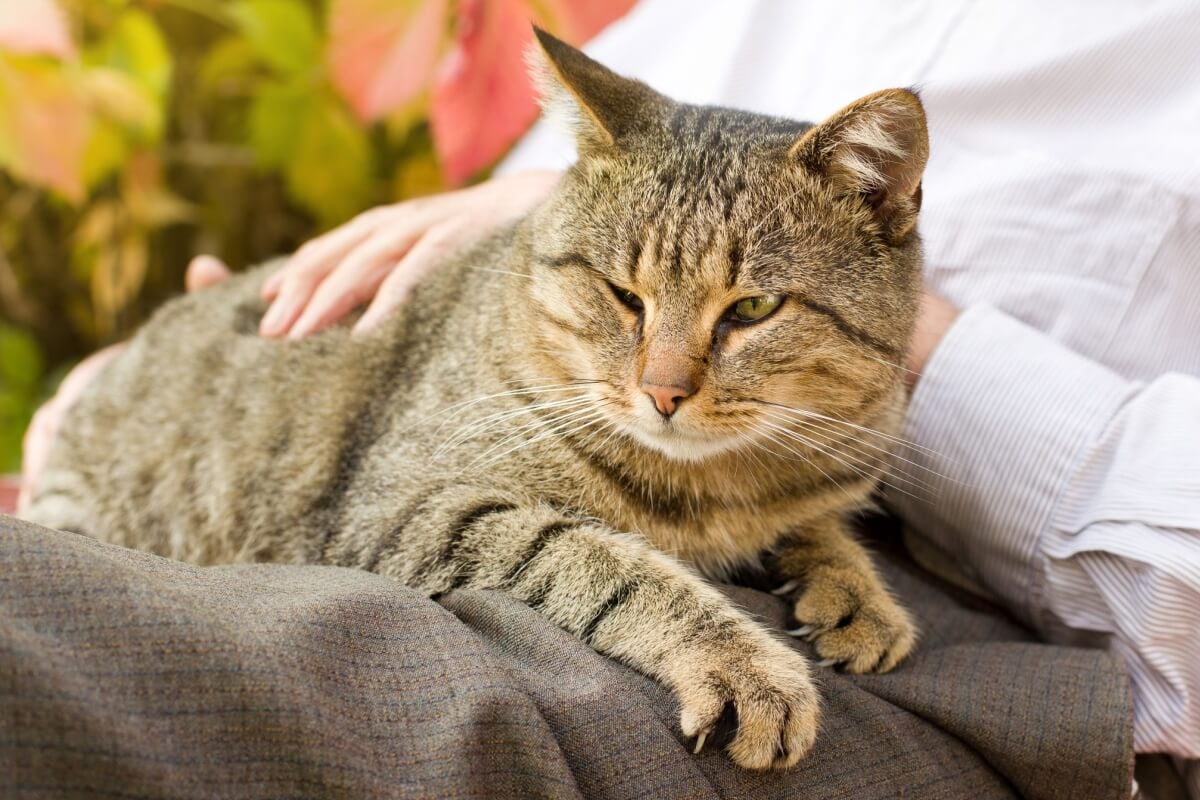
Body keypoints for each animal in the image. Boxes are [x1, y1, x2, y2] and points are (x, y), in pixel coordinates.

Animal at [28, 29, 926, 767]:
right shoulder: (410, 506)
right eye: (623, 296)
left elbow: (822, 524)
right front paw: (745, 663)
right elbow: (607, 563)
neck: (719, 487)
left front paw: (855, 592)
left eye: (753, 309)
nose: (663, 392)